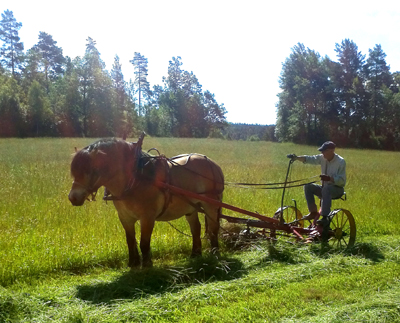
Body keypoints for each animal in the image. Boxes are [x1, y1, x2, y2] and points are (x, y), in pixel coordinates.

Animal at [67, 134, 223, 268]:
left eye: (92, 169)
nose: (72, 197)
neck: (135, 178)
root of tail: (213, 163)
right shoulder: (125, 217)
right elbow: (130, 240)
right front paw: (133, 263)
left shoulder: (147, 217)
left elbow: (144, 242)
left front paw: (147, 264)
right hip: (191, 208)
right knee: (196, 228)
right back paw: (195, 254)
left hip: (211, 205)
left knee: (213, 228)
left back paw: (214, 252)